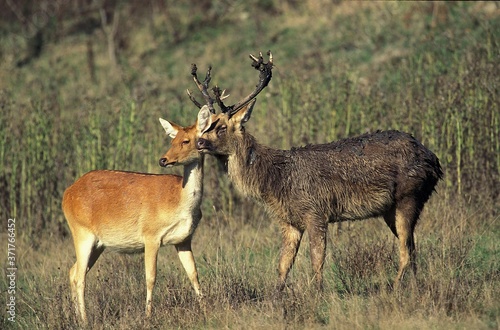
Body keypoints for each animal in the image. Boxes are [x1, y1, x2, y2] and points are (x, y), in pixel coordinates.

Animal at [60, 67, 217, 322]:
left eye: (186, 140)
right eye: (171, 139)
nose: (163, 159)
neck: (179, 203)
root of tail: (67, 193)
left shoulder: (184, 239)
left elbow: (194, 274)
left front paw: (205, 312)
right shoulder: (150, 235)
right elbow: (151, 277)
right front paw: (148, 316)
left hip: (98, 243)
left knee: (72, 271)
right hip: (81, 232)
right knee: (80, 276)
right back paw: (84, 320)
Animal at [193, 51, 444, 292]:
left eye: (221, 127)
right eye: (205, 125)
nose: (199, 142)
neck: (276, 181)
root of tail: (434, 160)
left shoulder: (316, 211)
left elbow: (317, 260)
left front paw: (317, 294)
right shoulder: (289, 221)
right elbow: (283, 265)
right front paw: (275, 297)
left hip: (409, 194)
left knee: (406, 252)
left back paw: (395, 288)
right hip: (392, 208)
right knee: (412, 249)